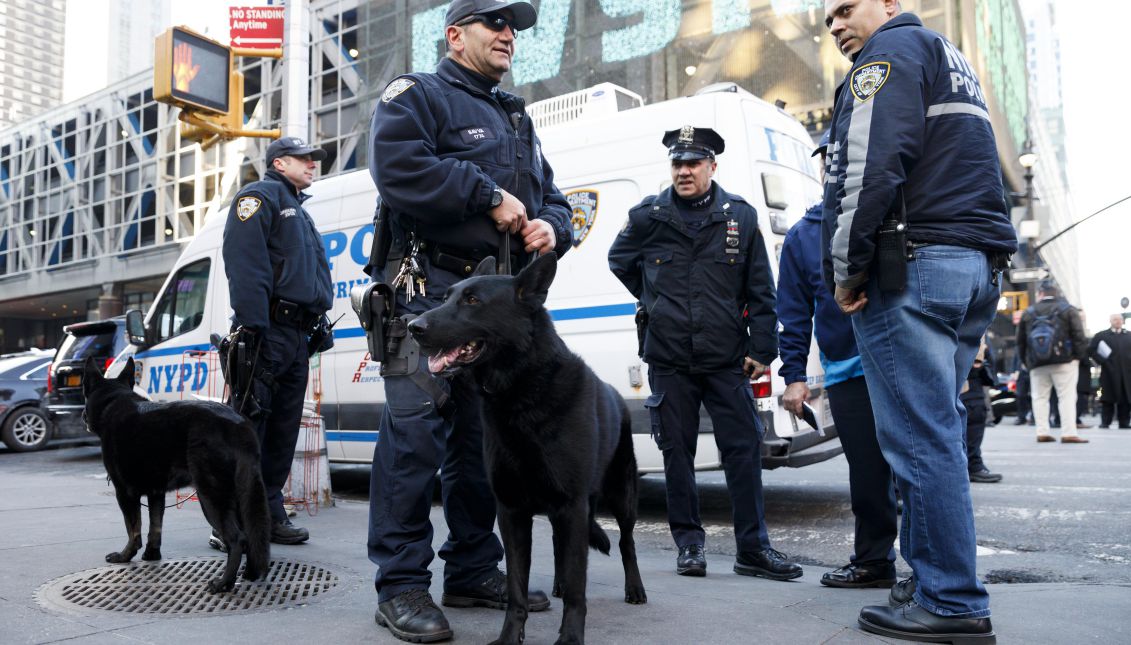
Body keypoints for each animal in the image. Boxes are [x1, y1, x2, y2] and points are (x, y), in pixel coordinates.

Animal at [81, 353, 271, 588]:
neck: (113, 402)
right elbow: (155, 526)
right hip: (241, 495)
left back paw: (224, 583)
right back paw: (250, 574)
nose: (82, 416)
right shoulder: (156, 493)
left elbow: (133, 529)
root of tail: (238, 426)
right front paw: (152, 555)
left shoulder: (125, 494)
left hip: (210, 498)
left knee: (238, 539)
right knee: (253, 534)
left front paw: (125, 556)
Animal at [411, 253, 651, 638]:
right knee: (560, 549)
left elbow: (579, 588)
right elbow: (517, 589)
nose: (412, 326)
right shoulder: (512, 512)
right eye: (446, 297)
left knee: (625, 542)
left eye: (472, 301)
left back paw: (634, 588)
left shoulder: (571, 505)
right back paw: (559, 584)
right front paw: (510, 636)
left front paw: (570, 637)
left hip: (621, 495)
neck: (521, 392)